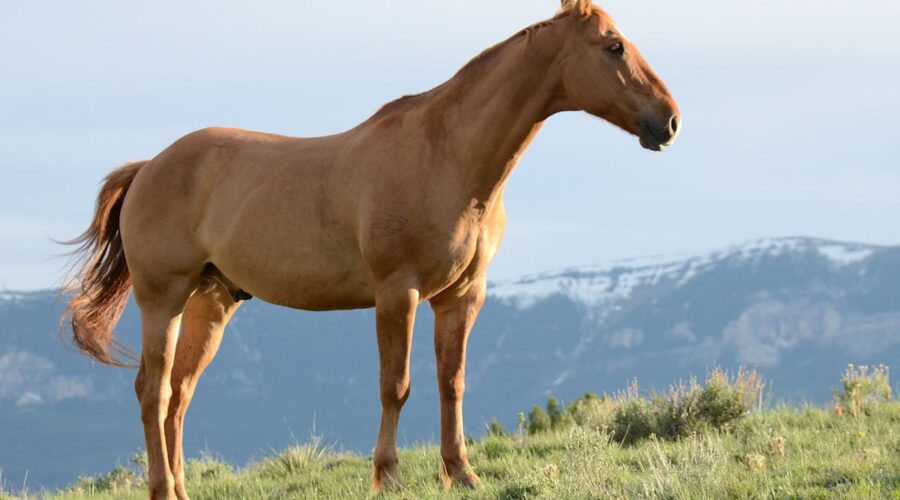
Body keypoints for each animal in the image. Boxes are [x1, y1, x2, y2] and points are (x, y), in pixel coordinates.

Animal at [62, 0, 679, 497]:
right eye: (614, 45)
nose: (669, 121)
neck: (447, 155)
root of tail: (149, 167)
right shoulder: (397, 293)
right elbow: (396, 386)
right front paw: (388, 476)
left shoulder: (462, 296)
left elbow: (452, 383)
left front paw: (462, 474)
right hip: (163, 299)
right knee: (153, 392)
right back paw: (162, 489)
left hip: (210, 303)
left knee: (179, 395)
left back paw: (181, 489)